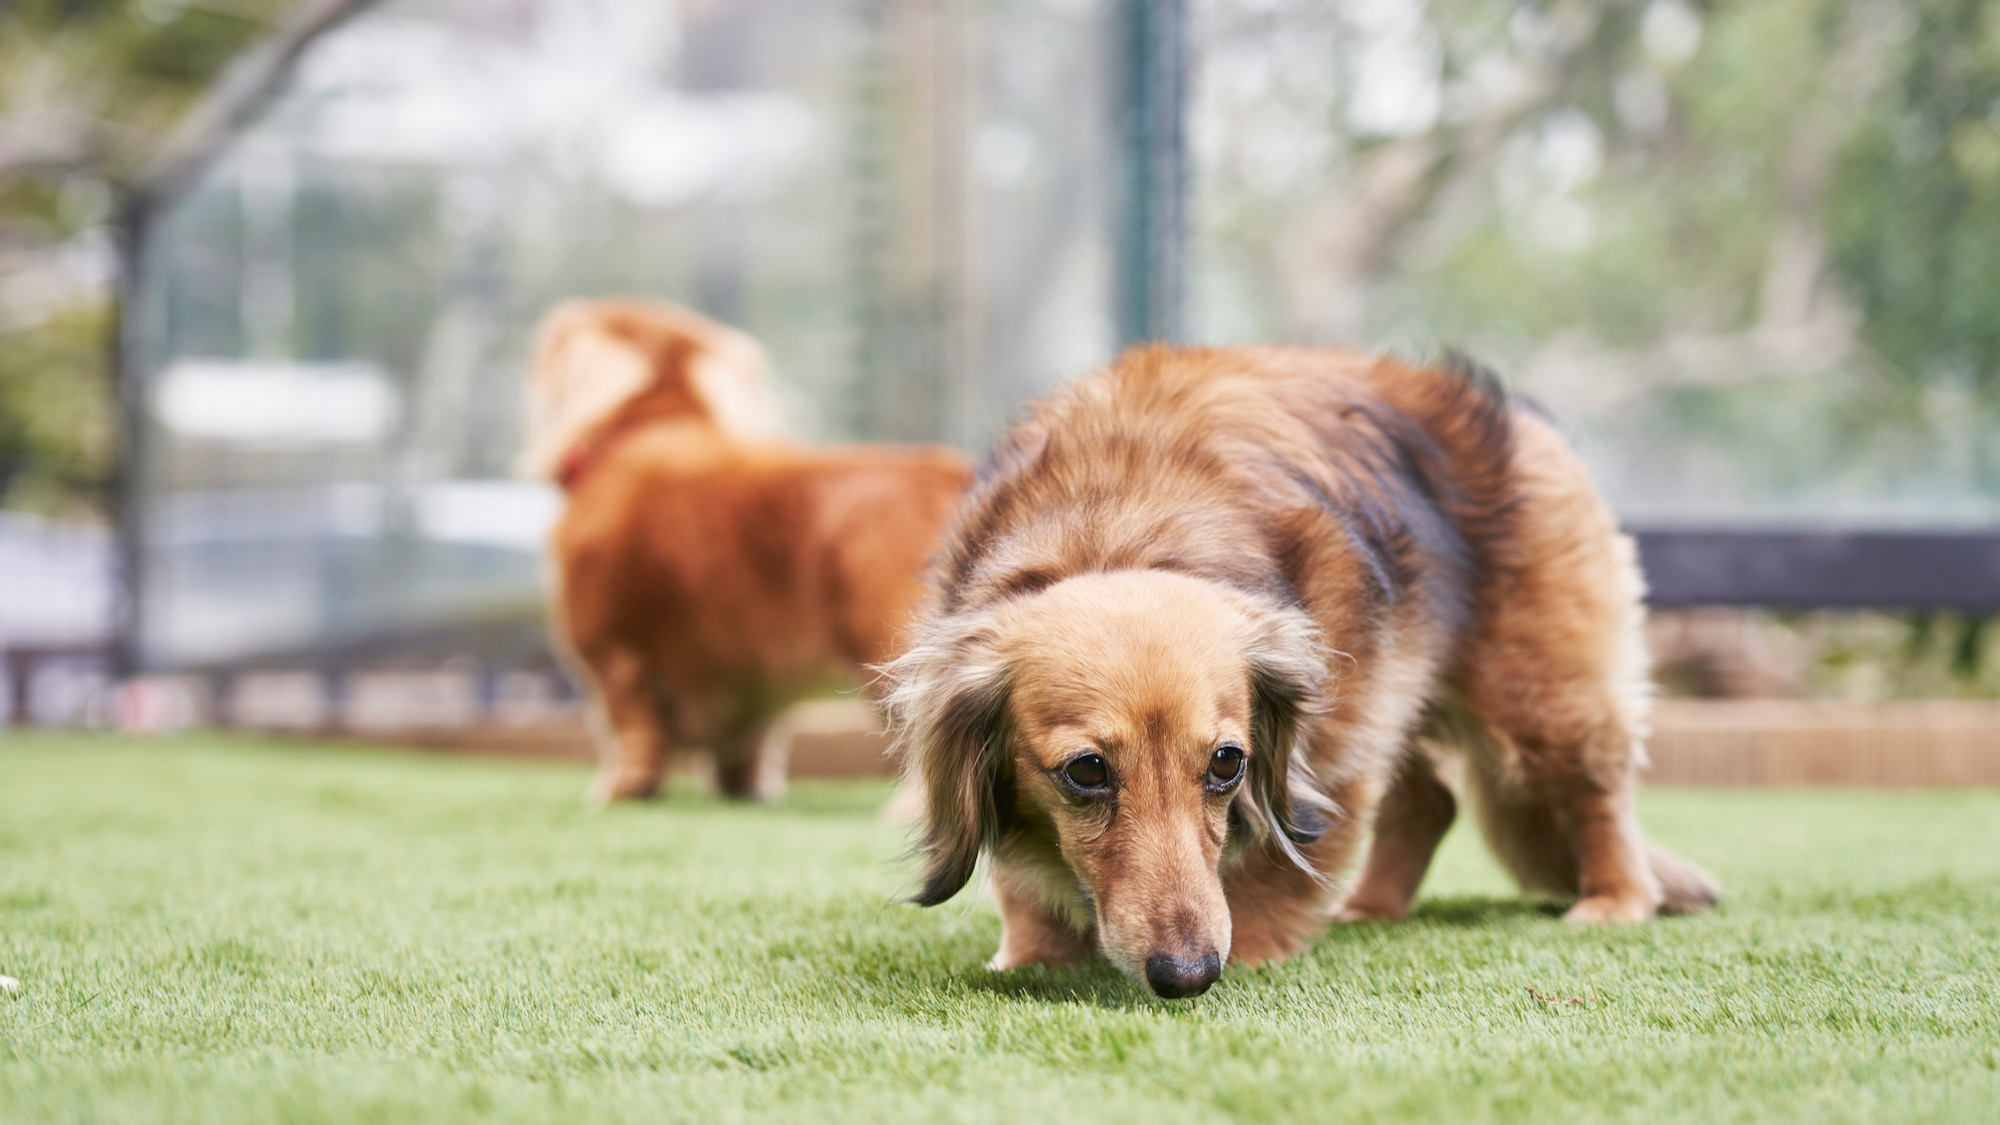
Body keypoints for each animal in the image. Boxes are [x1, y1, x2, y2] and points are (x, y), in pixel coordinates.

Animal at [524, 298, 976, 800]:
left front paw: (621, 790)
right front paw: (745, 790)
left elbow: (628, 733)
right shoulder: (749, 682)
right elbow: (749, 742)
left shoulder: (615, 661)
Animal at [892, 346, 1720, 992]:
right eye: (1086, 771)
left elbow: (1279, 863)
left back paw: (1615, 898)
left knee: (1595, 791)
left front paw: (1253, 952)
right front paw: (1035, 955)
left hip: (1536, 699)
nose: (1187, 973)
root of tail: (1519, 418)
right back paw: (1370, 909)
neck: (1114, 526)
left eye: (1227, 763)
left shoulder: (1327, 748)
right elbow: (1025, 878)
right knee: (1430, 804)